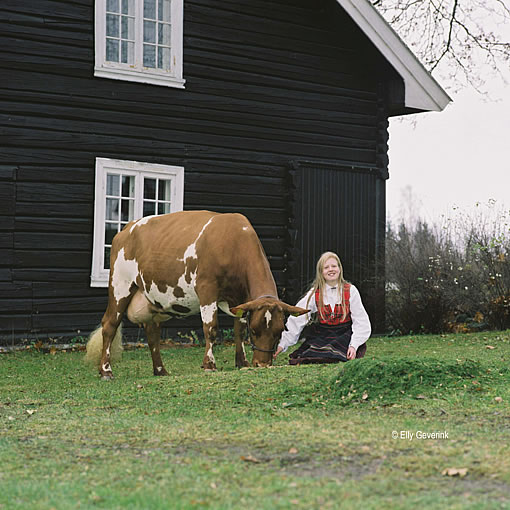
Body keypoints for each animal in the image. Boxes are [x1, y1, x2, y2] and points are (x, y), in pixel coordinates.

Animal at [85, 209, 306, 380]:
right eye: (255, 331)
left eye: (280, 331)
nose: (262, 364)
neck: (234, 243)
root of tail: (127, 228)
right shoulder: (207, 288)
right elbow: (211, 328)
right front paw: (209, 365)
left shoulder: (242, 299)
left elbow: (238, 329)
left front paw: (241, 362)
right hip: (120, 286)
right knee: (110, 325)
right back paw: (106, 371)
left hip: (152, 299)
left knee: (152, 332)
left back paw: (160, 370)